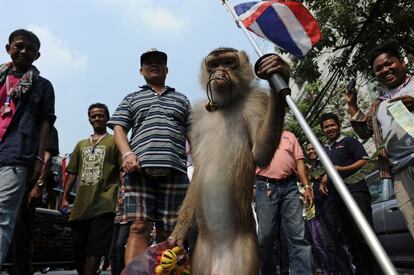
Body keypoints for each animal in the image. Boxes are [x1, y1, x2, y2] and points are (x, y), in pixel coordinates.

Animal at [170, 48, 290, 274]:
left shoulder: (256, 101)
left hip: (244, 253)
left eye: (228, 62)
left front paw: (277, 72)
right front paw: (178, 234)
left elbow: (260, 153)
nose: (220, 72)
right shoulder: (198, 115)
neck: (226, 104)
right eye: (214, 64)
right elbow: (197, 169)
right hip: (201, 257)